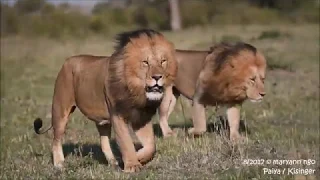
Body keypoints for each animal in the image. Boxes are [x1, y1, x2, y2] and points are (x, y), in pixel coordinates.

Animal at [33, 28, 178, 172]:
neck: (135, 91)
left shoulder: (141, 118)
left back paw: (114, 163)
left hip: (102, 121)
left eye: (163, 61)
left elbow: (151, 146)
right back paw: (59, 164)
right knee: (56, 139)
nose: (157, 77)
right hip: (60, 111)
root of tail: (67, 61)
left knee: (103, 141)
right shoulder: (118, 115)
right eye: (145, 62)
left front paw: (138, 157)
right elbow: (126, 142)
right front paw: (132, 165)